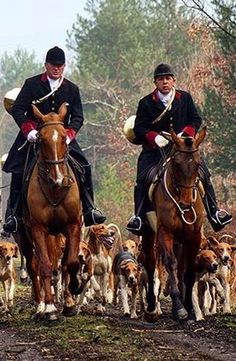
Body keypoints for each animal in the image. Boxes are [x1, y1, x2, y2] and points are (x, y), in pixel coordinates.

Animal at [20, 102, 83, 320]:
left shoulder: (73, 226)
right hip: (25, 237)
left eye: (64, 137)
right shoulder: (38, 229)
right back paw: (40, 305)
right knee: (34, 267)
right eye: (41, 139)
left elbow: (70, 263)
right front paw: (49, 308)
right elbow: (45, 266)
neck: (54, 190)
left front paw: (72, 296)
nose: (59, 179)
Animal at [142, 126, 206, 320]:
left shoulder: (194, 236)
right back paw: (151, 306)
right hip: (150, 235)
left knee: (181, 268)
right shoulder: (165, 232)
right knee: (151, 265)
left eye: (198, 164)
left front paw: (189, 308)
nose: (186, 204)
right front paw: (179, 307)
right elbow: (170, 263)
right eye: (176, 164)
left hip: (181, 240)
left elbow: (189, 270)